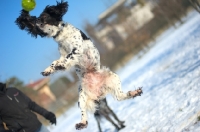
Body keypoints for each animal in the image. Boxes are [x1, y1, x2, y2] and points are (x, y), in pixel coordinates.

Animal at [15, 0, 143, 129]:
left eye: (45, 16)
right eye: (36, 21)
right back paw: (82, 123)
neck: (62, 36)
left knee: (120, 96)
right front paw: (48, 70)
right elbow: (55, 62)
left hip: (113, 77)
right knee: (85, 113)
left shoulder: (77, 49)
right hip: (82, 98)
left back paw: (134, 92)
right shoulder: (62, 55)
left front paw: (60, 66)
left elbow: (68, 57)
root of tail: (98, 93)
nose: (37, 23)